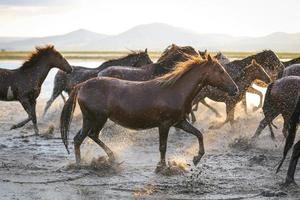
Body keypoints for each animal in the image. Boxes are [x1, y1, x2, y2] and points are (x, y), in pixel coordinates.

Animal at [60, 55, 239, 170]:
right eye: (220, 71)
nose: (235, 89)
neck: (175, 90)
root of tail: (82, 86)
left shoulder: (180, 122)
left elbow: (199, 134)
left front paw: (196, 158)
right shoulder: (164, 125)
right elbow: (163, 147)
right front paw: (162, 166)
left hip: (93, 119)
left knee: (86, 137)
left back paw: (108, 158)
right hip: (96, 118)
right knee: (83, 137)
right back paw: (84, 163)